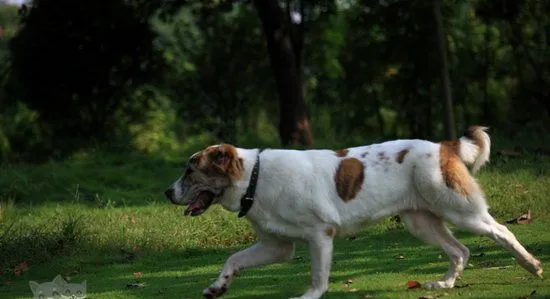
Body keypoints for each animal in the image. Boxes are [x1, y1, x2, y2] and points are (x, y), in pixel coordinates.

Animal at [164, 126, 544, 299]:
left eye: (190, 171)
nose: (167, 192)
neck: (254, 176)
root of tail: (442, 146)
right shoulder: (277, 246)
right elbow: (234, 259)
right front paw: (218, 286)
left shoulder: (320, 235)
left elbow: (318, 276)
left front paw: (310, 296)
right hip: (421, 222)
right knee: (460, 250)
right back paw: (446, 283)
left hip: (460, 210)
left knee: (502, 232)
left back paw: (532, 266)